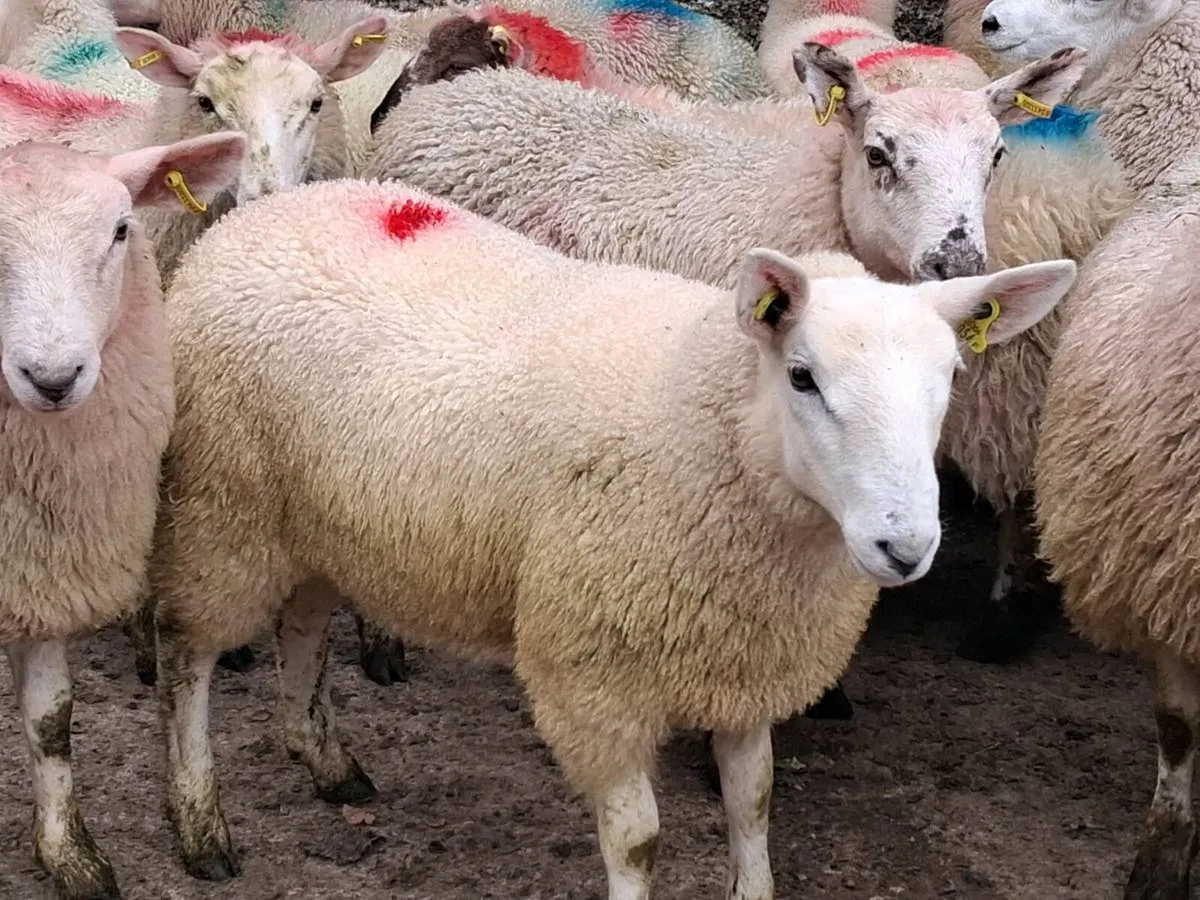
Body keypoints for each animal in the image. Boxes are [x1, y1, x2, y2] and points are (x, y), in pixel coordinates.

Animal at [146, 173, 1077, 892]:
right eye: (803, 377)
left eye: (951, 375)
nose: (906, 546)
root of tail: (261, 211)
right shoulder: (594, 679)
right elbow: (638, 842)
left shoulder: (744, 663)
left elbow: (754, 805)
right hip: (221, 506)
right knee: (186, 654)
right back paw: (200, 826)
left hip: (311, 518)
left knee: (302, 625)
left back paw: (327, 762)